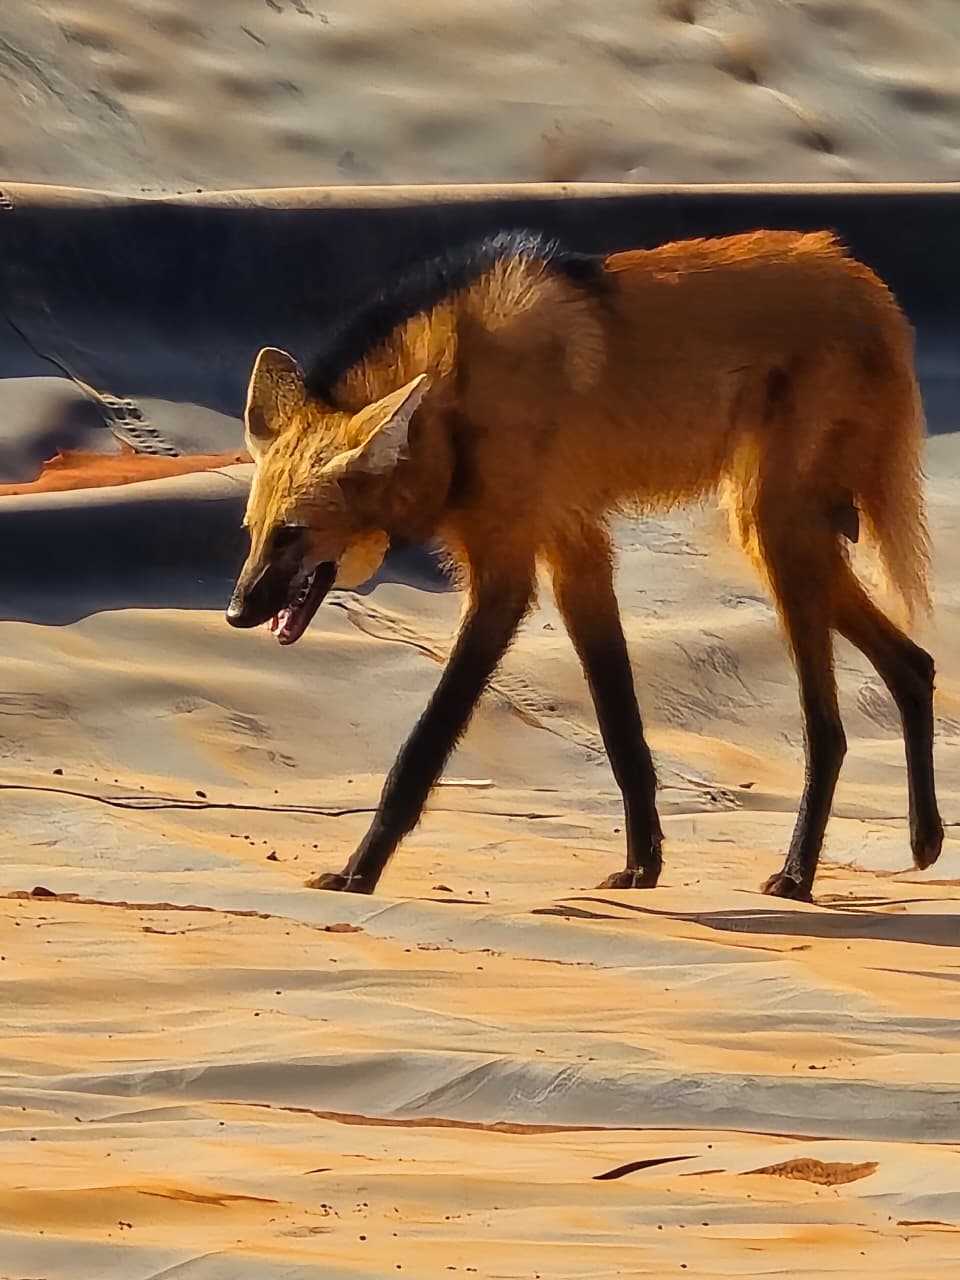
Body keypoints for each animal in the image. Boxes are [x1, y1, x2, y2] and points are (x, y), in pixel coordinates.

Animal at [226, 228, 943, 900]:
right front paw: (643, 865)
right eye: (253, 534)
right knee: (914, 664)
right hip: (773, 535)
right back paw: (925, 838)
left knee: (829, 728)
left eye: (292, 535)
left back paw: (797, 874)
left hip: (778, 534)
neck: (456, 403)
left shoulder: (507, 577)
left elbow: (423, 747)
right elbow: (621, 729)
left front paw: (359, 872)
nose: (235, 612)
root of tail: (857, 272)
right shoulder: (575, 553)